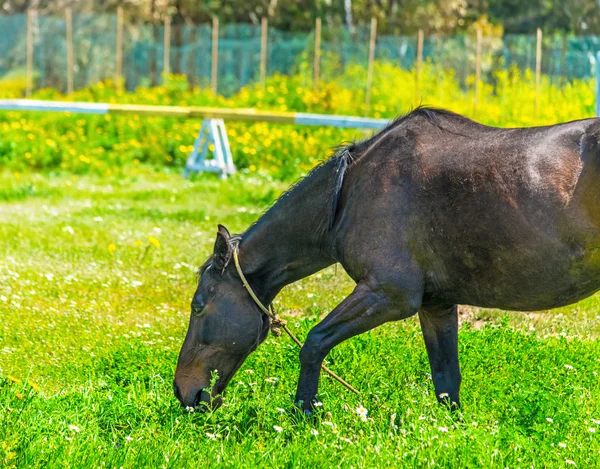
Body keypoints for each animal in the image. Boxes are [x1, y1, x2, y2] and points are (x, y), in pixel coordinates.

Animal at [171, 108, 600, 412]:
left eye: (198, 306)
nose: (183, 392)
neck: (350, 191)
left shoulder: (389, 295)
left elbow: (313, 343)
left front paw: (304, 415)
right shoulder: (435, 306)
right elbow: (446, 380)